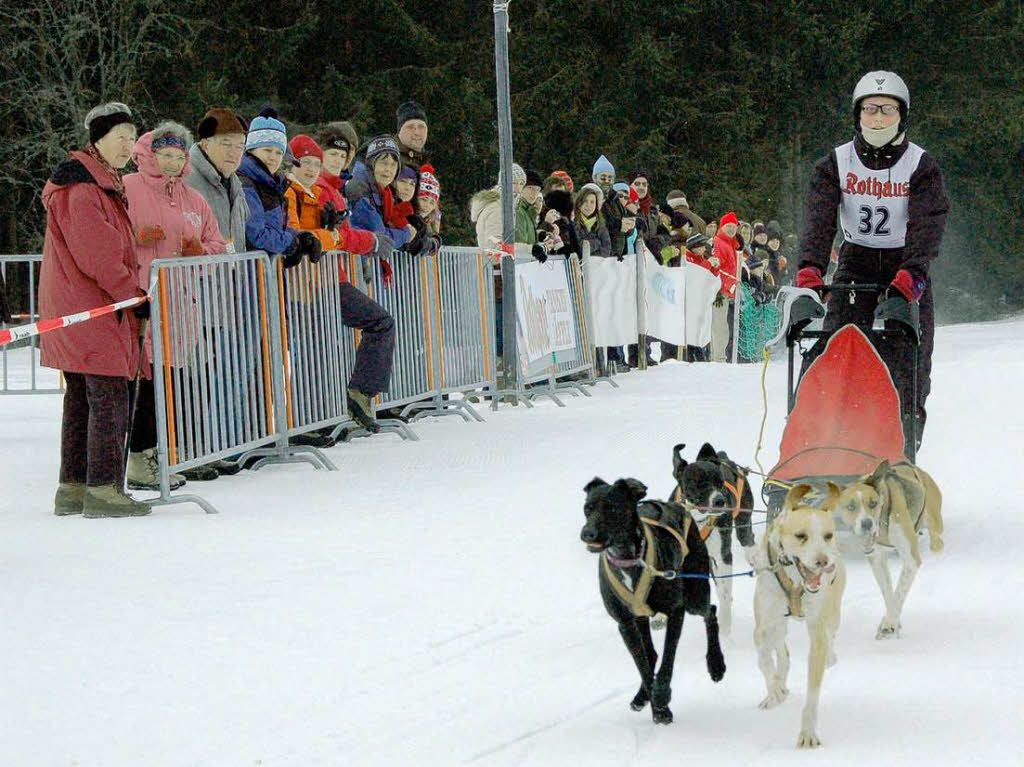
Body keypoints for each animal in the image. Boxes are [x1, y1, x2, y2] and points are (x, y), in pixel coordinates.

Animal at [581, 475, 724, 720]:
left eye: (612, 508)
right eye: (587, 508)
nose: (587, 533)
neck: (630, 559)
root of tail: (678, 505)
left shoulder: (676, 611)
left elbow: (668, 659)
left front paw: (662, 695)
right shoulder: (625, 623)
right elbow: (643, 665)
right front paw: (657, 707)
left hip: (695, 596)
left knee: (711, 612)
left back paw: (716, 663)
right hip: (641, 617)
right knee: (651, 654)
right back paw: (642, 696)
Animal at [671, 442, 761, 634]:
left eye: (720, 483)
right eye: (699, 483)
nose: (720, 501)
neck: (698, 521)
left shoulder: (722, 556)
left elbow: (725, 594)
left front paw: (725, 628)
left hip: (743, 520)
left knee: (748, 538)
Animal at [753, 481, 847, 745]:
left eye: (828, 536)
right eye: (801, 536)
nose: (823, 561)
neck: (795, 583)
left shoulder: (817, 630)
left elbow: (813, 690)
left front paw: (808, 731)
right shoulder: (763, 624)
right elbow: (764, 659)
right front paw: (774, 690)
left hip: (833, 614)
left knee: (831, 635)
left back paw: (831, 657)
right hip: (777, 624)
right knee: (781, 652)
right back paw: (777, 688)